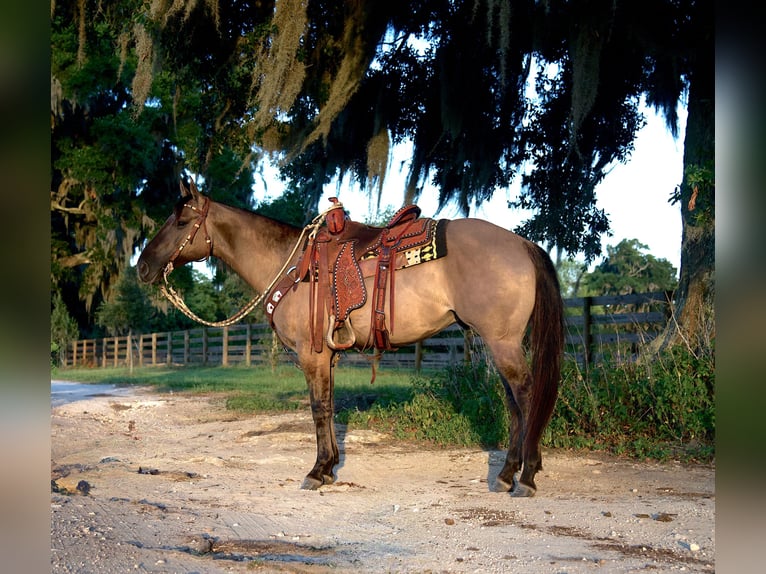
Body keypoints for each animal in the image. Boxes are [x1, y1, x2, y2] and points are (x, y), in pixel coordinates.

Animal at [138, 182, 568, 498]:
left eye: (180, 221)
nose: (142, 267)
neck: (290, 266)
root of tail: (521, 243)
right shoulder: (327, 356)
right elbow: (329, 407)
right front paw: (329, 468)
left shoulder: (312, 356)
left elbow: (318, 408)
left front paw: (316, 472)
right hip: (500, 344)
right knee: (513, 403)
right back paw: (507, 474)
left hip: (503, 343)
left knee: (526, 396)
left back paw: (526, 477)